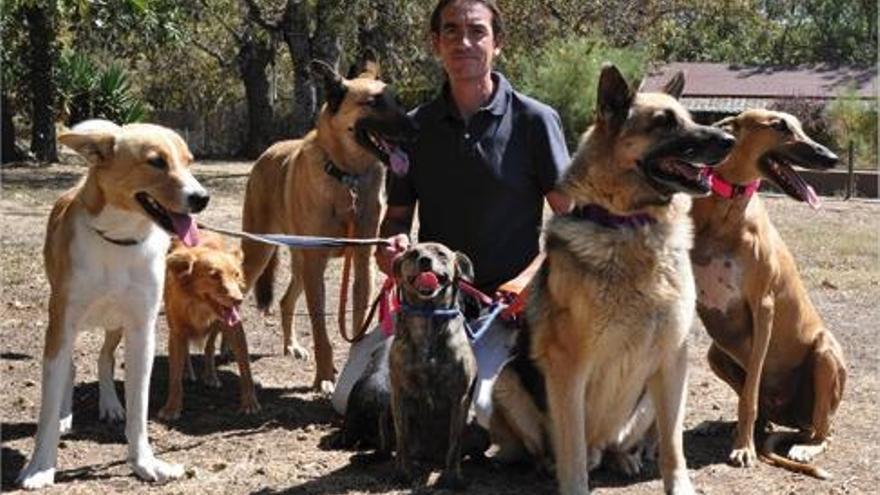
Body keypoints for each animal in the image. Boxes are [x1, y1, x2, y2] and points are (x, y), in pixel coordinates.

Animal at [17, 119, 208, 488]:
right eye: (156, 162)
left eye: (189, 162)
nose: (202, 198)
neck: (118, 240)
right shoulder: (61, 325)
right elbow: (47, 409)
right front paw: (40, 467)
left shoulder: (141, 330)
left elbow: (139, 407)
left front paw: (145, 463)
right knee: (71, 368)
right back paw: (66, 415)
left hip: (115, 324)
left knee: (105, 359)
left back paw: (110, 404)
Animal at [157, 231, 260, 420]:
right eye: (214, 275)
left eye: (236, 274)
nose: (239, 300)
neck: (199, 304)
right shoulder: (176, 332)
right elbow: (174, 378)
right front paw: (172, 407)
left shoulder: (235, 329)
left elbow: (246, 370)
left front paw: (250, 403)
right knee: (187, 352)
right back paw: (188, 372)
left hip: (218, 326)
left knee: (210, 346)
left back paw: (211, 375)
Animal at [388, 242, 478, 490]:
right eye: (412, 254)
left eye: (441, 254)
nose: (425, 261)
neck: (427, 317)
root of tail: (430, 457)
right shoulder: (399, 395)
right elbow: (402, 439)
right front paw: (403, 473)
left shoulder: (459, 398)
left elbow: (454, 443)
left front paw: (452, 477)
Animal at [696, 109, 844, 480]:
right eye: (779, 126)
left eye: (799, 126)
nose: (832, 158)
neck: (727, 210)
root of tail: (794, 420)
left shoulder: (762, 308)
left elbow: (749, 395)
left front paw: (743, 449)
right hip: (716, 353)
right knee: (763, 413)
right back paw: (728, 426)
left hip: (824, 355)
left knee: (823, 432)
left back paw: (803, 447)